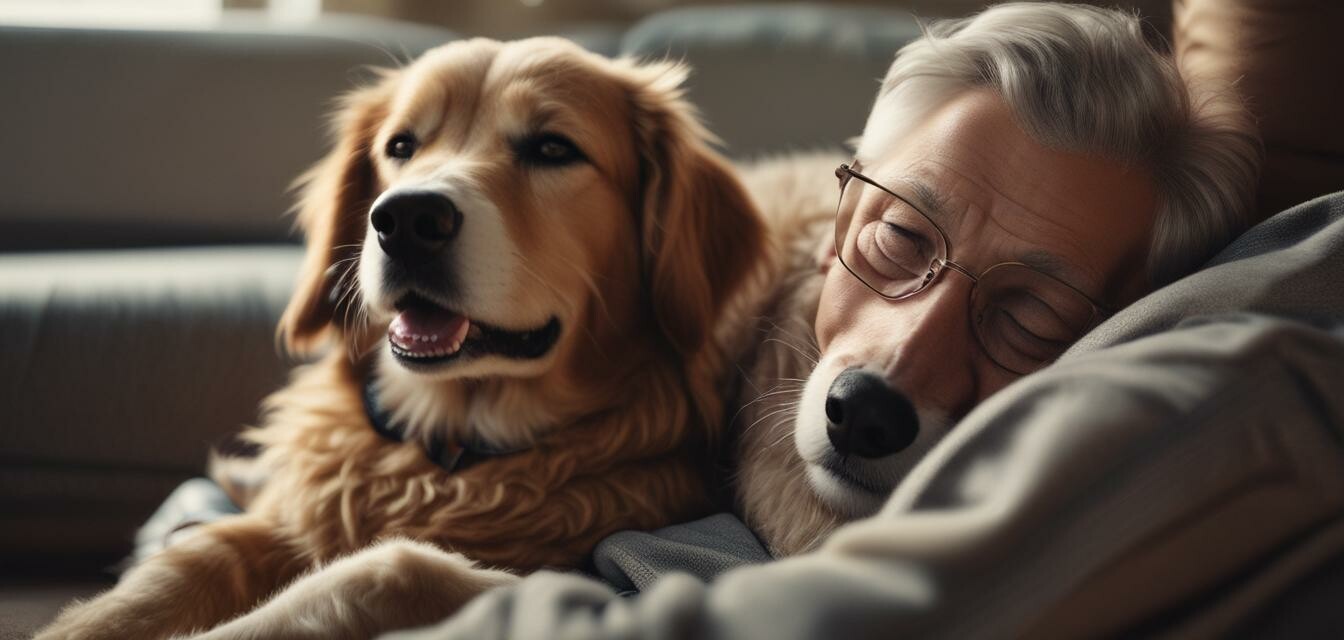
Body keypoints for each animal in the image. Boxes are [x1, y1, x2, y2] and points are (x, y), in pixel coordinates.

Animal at [36, 36, 763, 640]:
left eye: (554, 148)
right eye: (402, 147)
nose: (408, 219)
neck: (447, 452)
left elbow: (383, 570)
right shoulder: (281, 518)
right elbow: (190, 561)